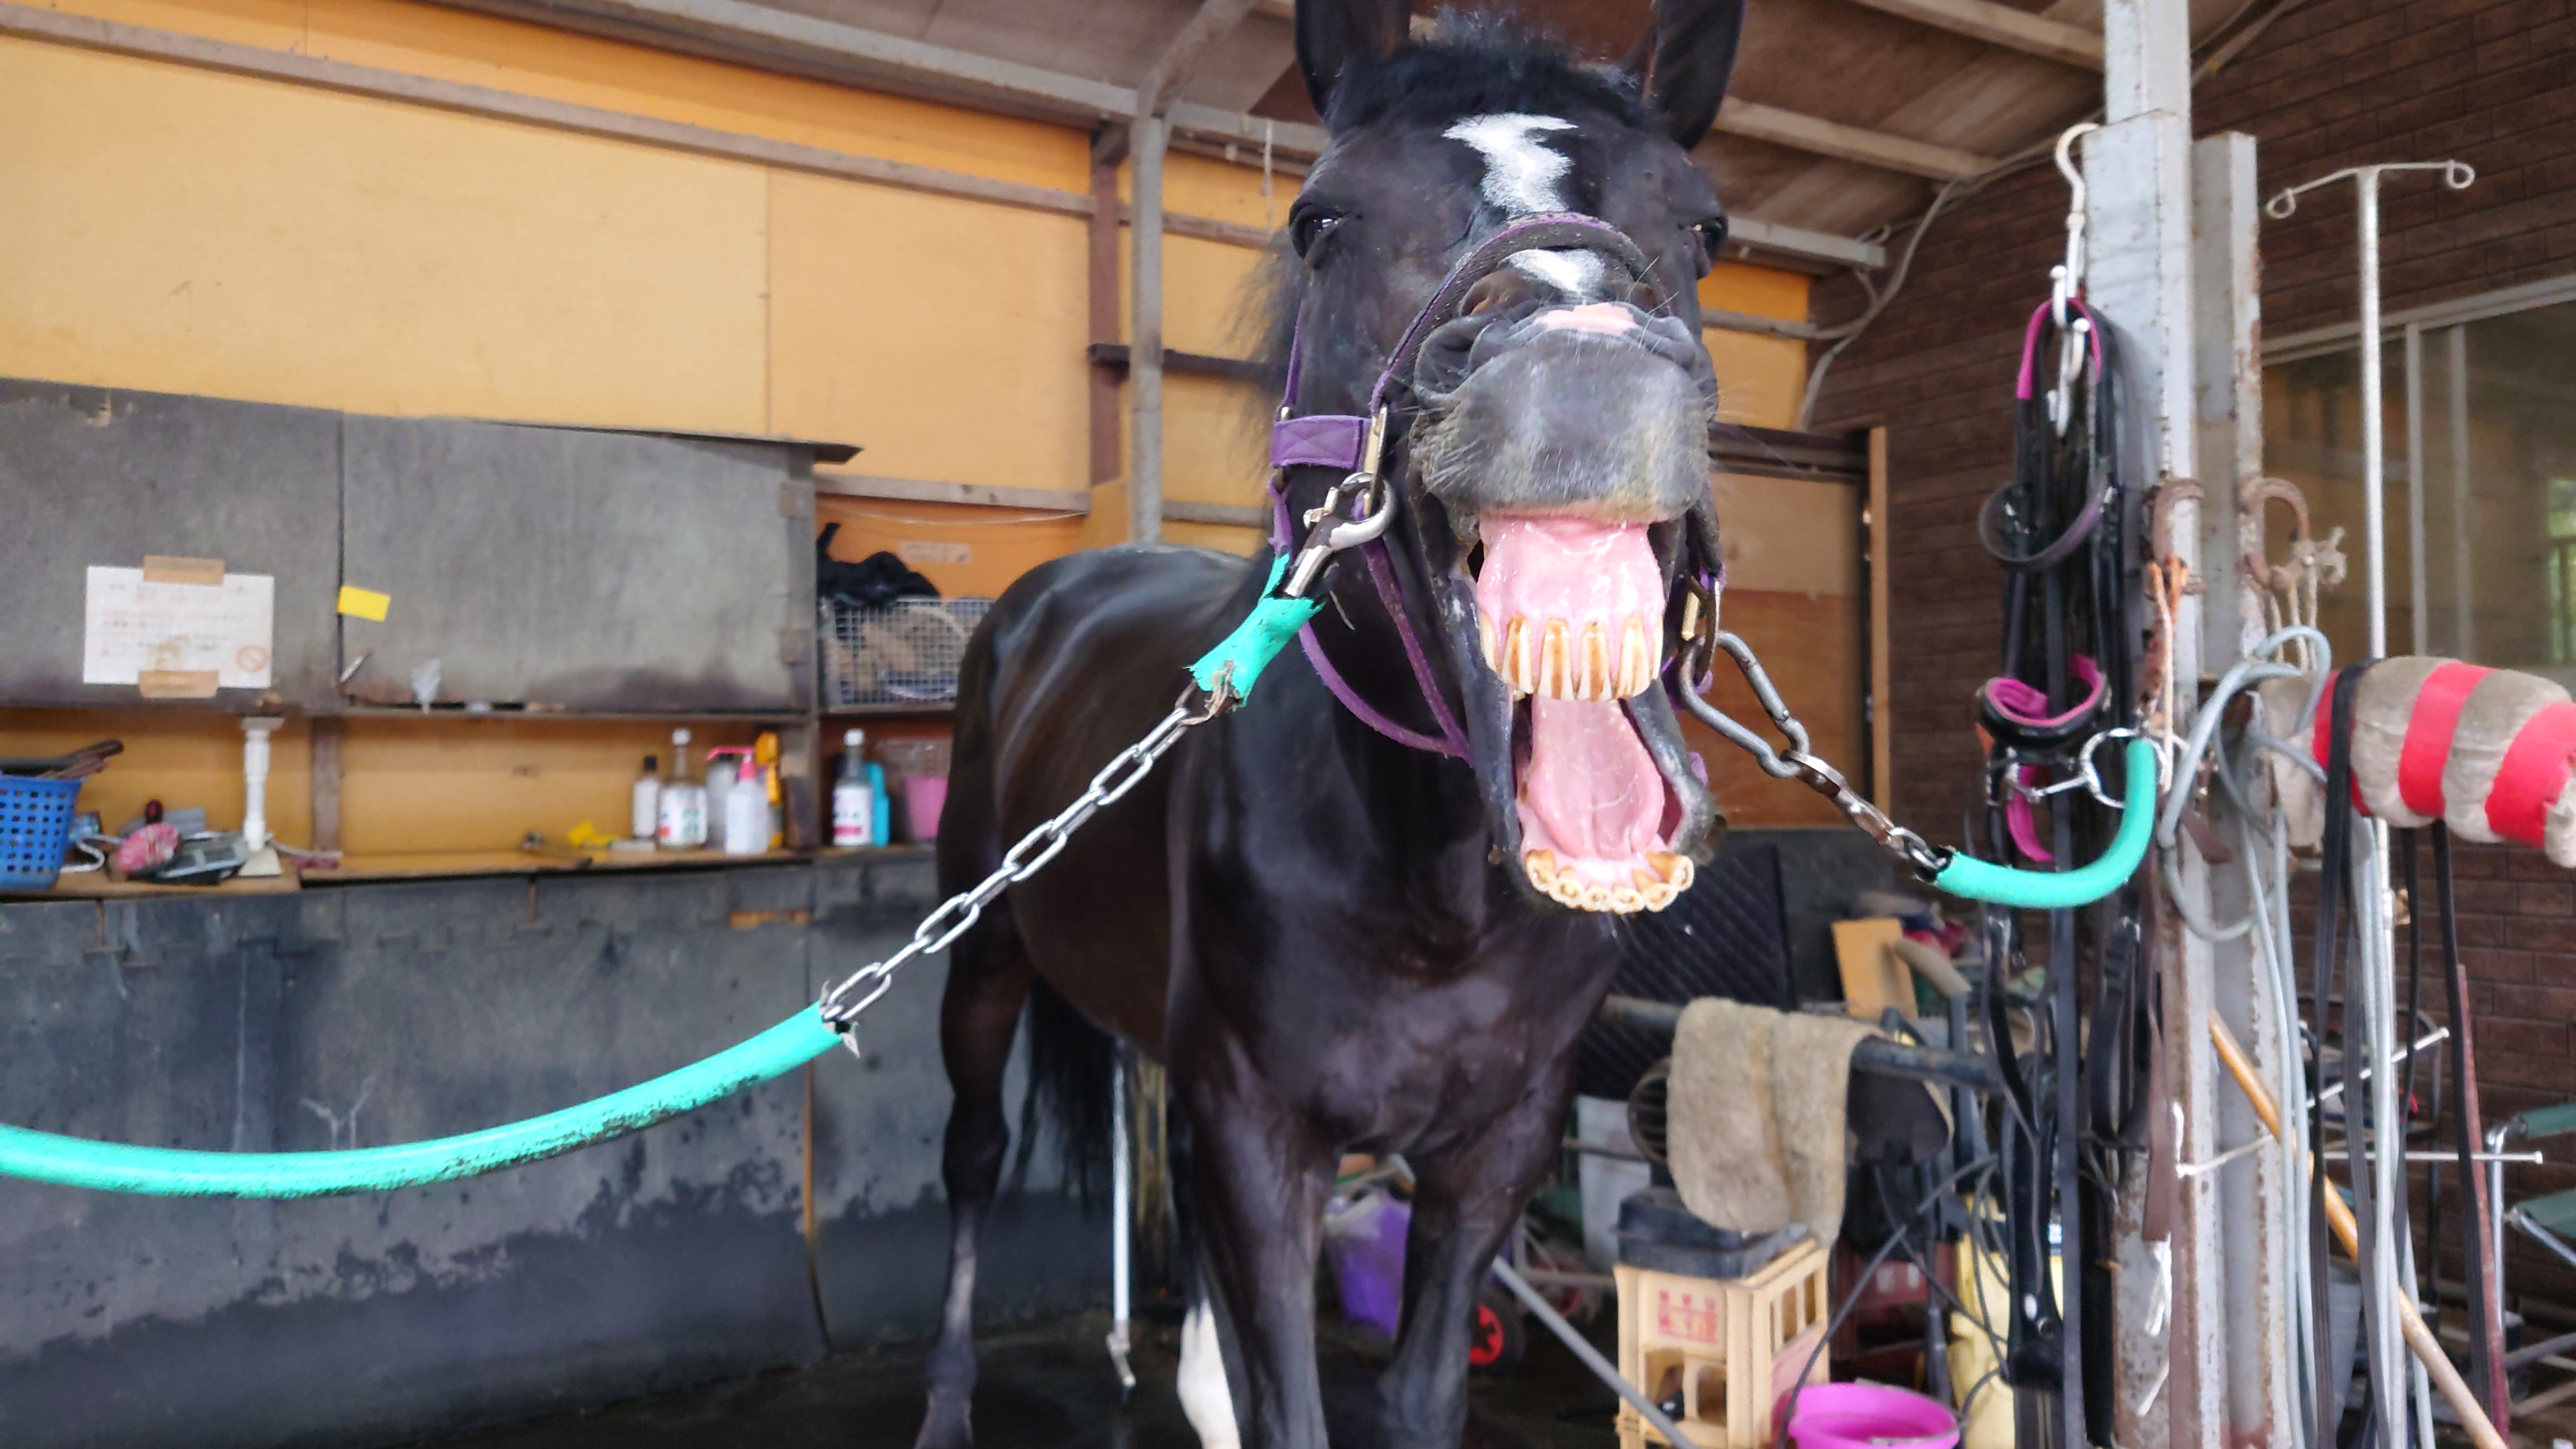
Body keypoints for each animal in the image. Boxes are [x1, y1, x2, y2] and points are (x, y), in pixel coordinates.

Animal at [917, 3, 1747, 1445]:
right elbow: (1289, 1402)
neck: (1432, 888)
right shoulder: (1259, 1134)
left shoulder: (1491, 1155)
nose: (1585, 381)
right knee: (972, 1159)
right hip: (983, 961)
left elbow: (1413, 1397)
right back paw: (951, 1402)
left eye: (1702, 225)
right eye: (1320, 221)